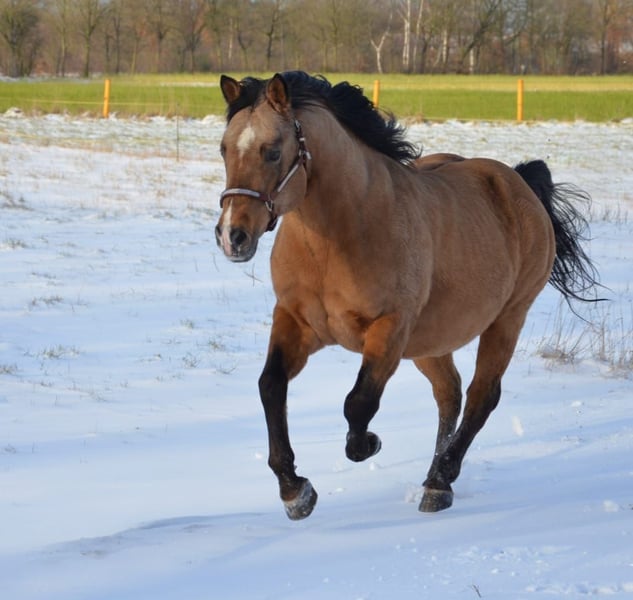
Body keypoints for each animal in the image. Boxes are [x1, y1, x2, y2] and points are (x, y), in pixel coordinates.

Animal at [214, 71, 599, 520]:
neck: (338, 238)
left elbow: (358, 403)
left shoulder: (390, 329)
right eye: (224, 148)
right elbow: (271, 386)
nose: (232, 236)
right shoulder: (296, 322)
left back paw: (440, 481)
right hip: (431, 340)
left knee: (481, 396)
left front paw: (368, 444)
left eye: (273, 151)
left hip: (506, 320)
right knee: (449, 393)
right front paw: (295, 492)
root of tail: (518, 182)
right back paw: (434, 478)